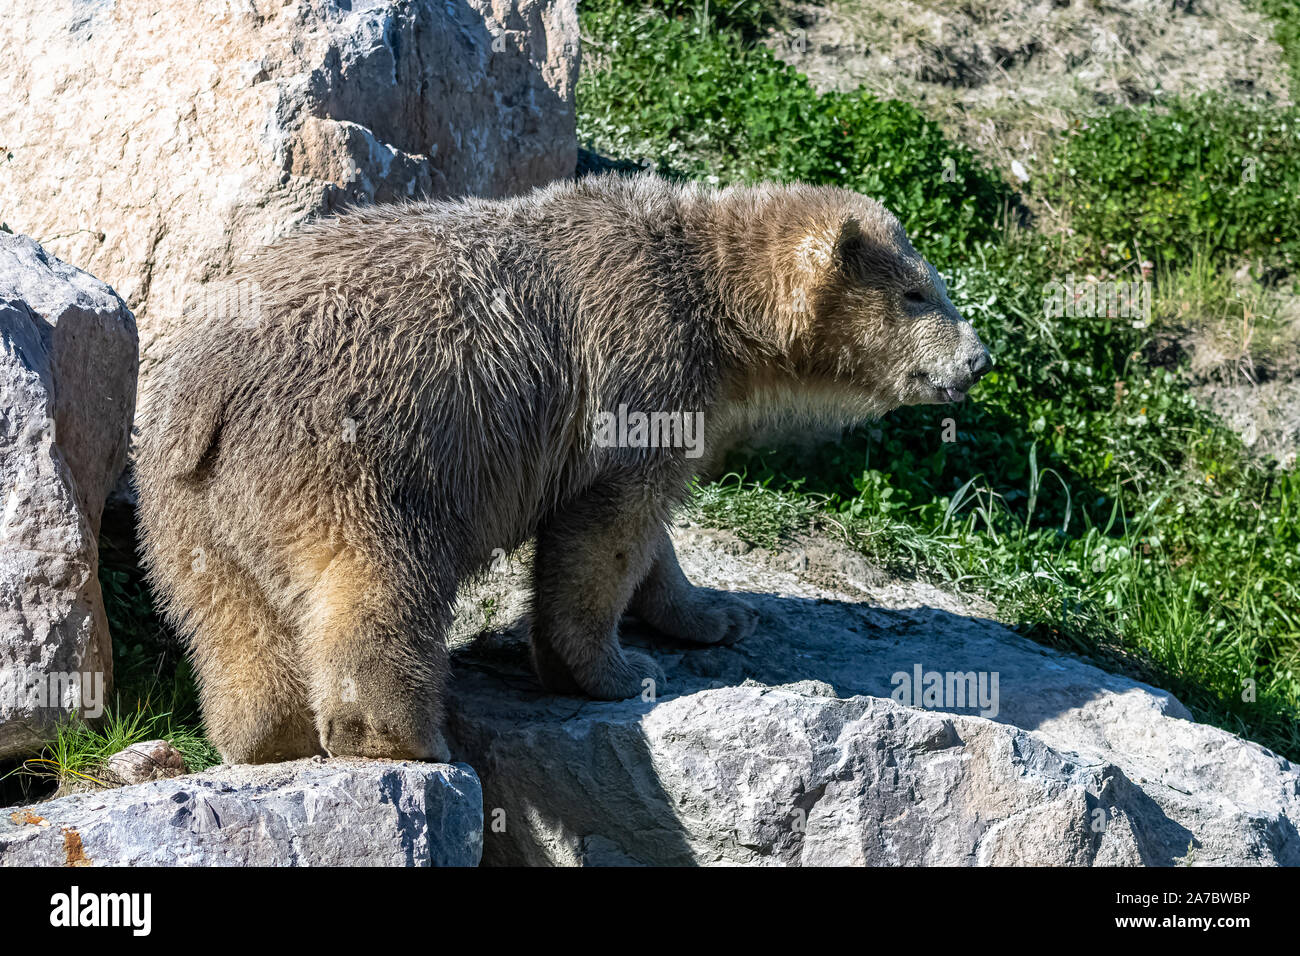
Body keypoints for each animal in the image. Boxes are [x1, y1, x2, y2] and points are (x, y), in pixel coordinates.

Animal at [133, 173, 992, 764]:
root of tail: (215, 389)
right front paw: (615, 669)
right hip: (356, 449)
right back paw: (404, 736)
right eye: (919, 293)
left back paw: (263, 737)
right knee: (376, 578)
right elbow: (605, 528)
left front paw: (715, 614)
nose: (979, 360)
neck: (705, 293)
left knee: (228, 614)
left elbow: (651, 539)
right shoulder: (639, 372)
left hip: (185, 500)